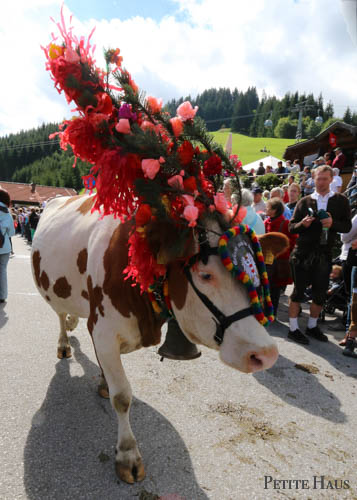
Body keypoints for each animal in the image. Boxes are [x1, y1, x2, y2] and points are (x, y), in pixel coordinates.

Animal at [30, 194, 286, 484]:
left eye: (254, 274)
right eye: (205, 274)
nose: (266, 353)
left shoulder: (105, 329)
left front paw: (106, 382)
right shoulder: (104, 329)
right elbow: (122, 397)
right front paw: (128, 454)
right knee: (61, 315)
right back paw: (64, 342)